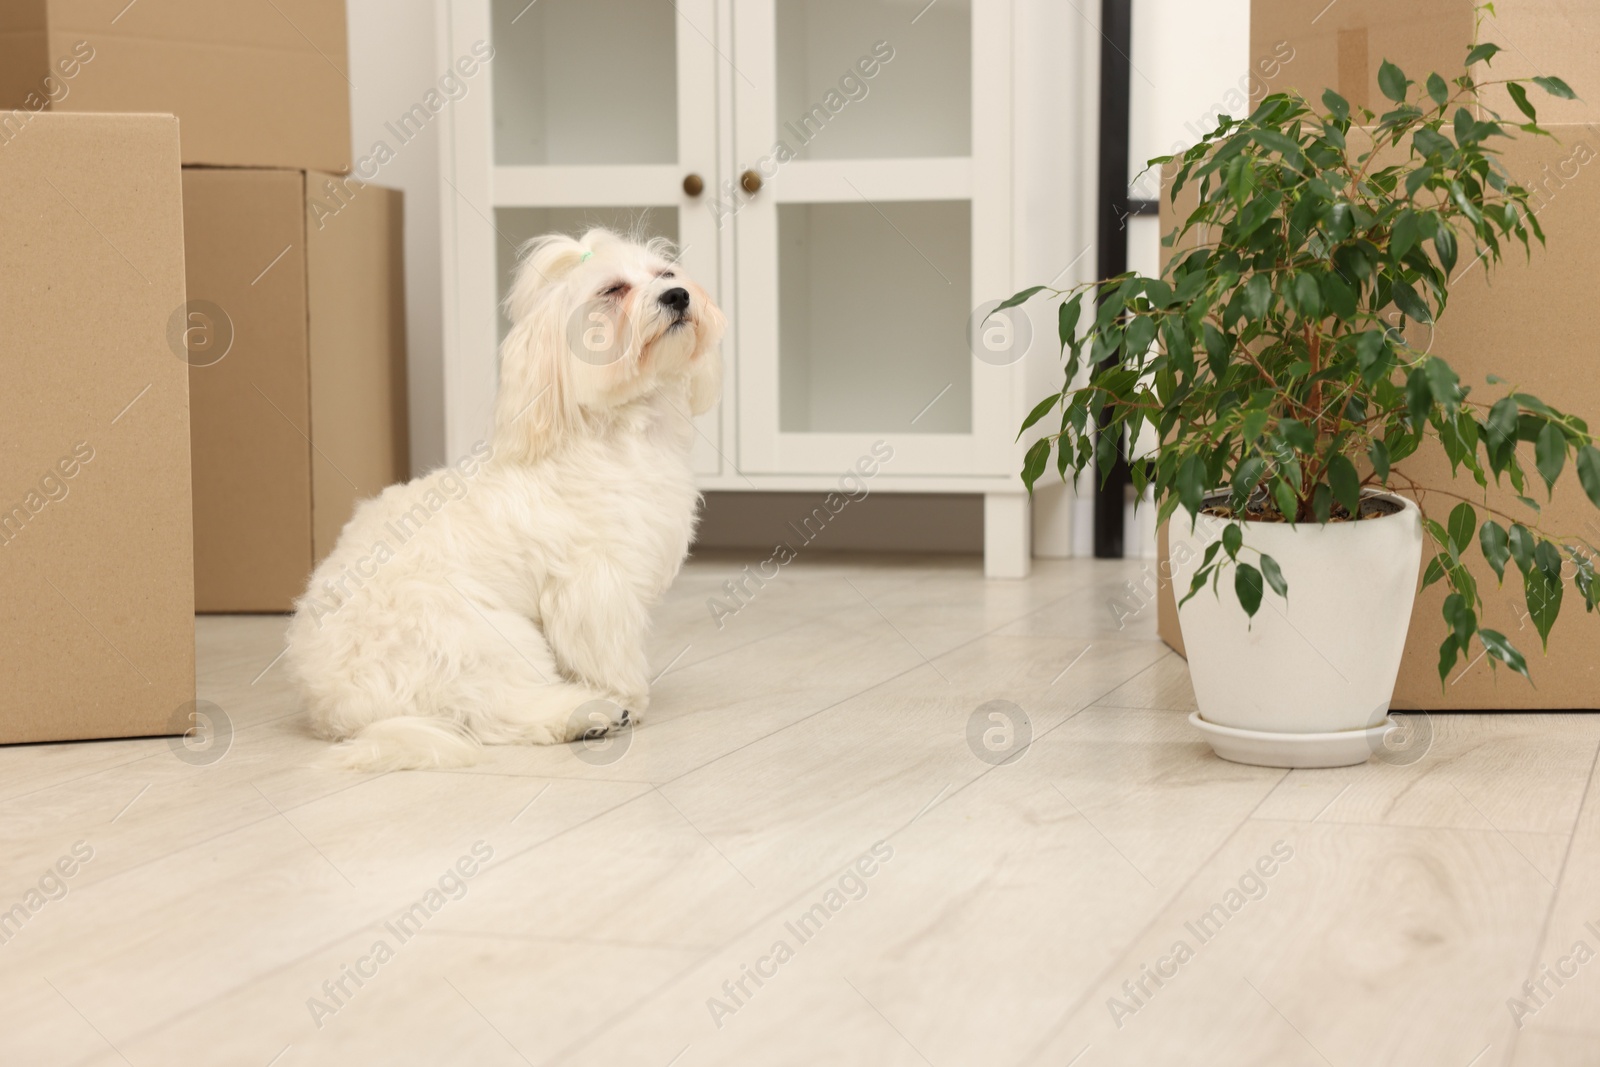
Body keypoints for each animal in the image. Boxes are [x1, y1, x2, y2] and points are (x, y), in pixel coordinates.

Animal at [284, 230, 723, 771]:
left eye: (666, 274)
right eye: (612, 290)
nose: (678, 296)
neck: (611, 433)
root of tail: (335, 709)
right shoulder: (594, 583)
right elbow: (607, 649)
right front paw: (628, 694)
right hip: (480, 637)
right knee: (499, 709)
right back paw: (587, 713)